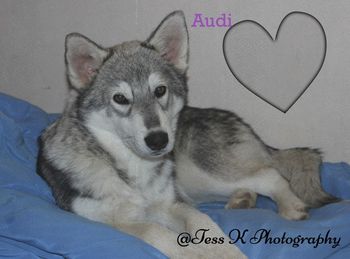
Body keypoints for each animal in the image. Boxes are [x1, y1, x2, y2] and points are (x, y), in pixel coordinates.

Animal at [37, 9, 338, 258]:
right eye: (120, 98)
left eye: (160, 90)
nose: (158, 140)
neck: (133, 170)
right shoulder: (112, 222)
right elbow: (158, 232)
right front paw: (193, 252)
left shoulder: (172, 204)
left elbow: (204, 223)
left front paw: (225, 253)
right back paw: (243, 200)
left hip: (202, 173)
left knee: (270, 174)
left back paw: (288, 205)